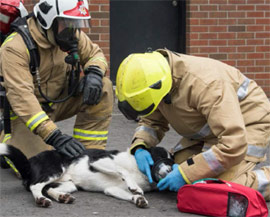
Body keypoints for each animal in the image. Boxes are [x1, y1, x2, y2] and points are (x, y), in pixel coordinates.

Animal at [0, 143, 173, 208]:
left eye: (172, 162)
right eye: (158, 157)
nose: (170, 170)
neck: (138, 169)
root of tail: (30, 162)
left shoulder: (111, 189)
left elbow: (130, 195)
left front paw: (138, 199)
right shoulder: (98, 161)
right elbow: (121, 170)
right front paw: (134, 187)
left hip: (69, 184)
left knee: (48, 189)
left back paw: (62, 197)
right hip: (55, 170)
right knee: (36, 187)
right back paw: (41, 200)